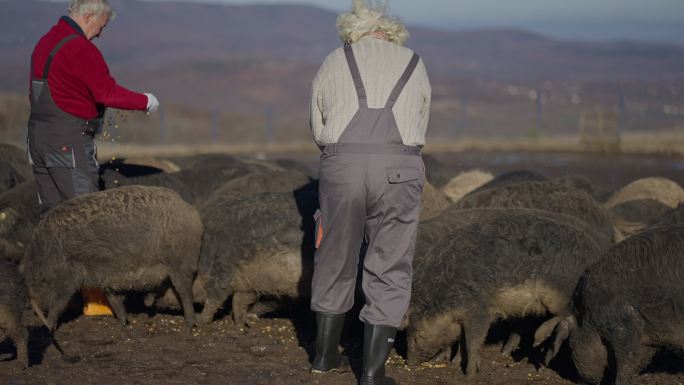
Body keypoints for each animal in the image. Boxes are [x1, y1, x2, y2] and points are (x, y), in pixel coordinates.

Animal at [24, 184, 206, 328]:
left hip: (181, 263)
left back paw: (190, 325)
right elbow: (115, 301)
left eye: (42, 281)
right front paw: (123, 324)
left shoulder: (68, 277)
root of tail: (193, 213)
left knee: (185, 292)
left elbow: (59, 302)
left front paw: (49, 327)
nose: (33, 301)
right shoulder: (108, 279)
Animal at [195, 190, 318, 324]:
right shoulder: (256, 282)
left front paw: (199, 321)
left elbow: (215, 298)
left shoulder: (223, 270)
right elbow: (242, 300)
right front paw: (243, 321)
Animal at [404, 208, 608, 374]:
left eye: (417, 336)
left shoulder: (478, 307)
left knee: (568, 318)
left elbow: (473, 340)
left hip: (562, 291)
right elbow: (462, 340)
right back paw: (512, 350)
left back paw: (539, 341)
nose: (409, 362)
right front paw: (454, 364)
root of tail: (596, 252)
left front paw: (470, 373)